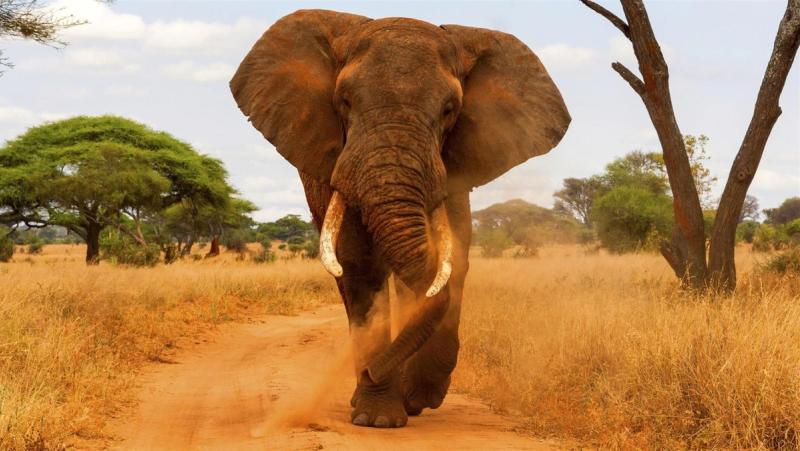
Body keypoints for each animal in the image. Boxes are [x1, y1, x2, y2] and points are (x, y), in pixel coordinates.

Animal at [230, 9, 570, 428]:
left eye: (449, 110)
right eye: (344, 101)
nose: (370, 372)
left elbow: (452, 262)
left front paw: (417, 397)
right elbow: (361, 267)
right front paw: (378, 418)